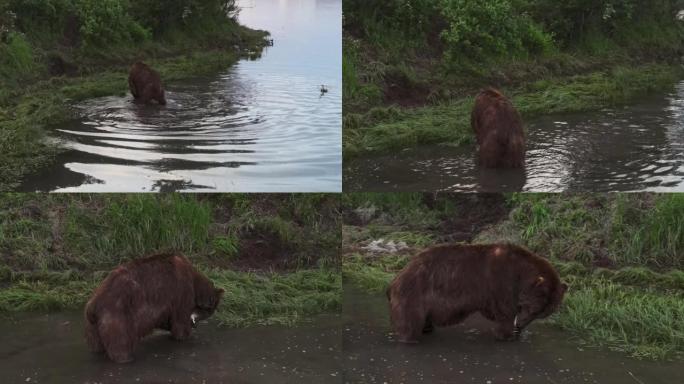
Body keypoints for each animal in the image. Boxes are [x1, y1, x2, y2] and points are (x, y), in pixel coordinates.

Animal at [82, 252, 222, 364]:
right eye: (209, 311)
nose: (195, 324)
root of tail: (93, 305)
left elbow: (166, 318)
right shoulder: (181, 290)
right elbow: (180, 318)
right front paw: (184, 335)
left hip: (92, 326)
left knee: (97, 344)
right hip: (117, 314)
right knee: (120, 340)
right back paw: (125, 358)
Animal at [388, 243, 568, 342]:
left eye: (541, 314)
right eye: (533, 308)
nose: (520, 325)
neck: (520, 274)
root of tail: (399, 274)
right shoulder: (501, 283)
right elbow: (505, 312)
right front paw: (506, 335)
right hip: (414, 295)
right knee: (410, 323)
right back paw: (410, 338)